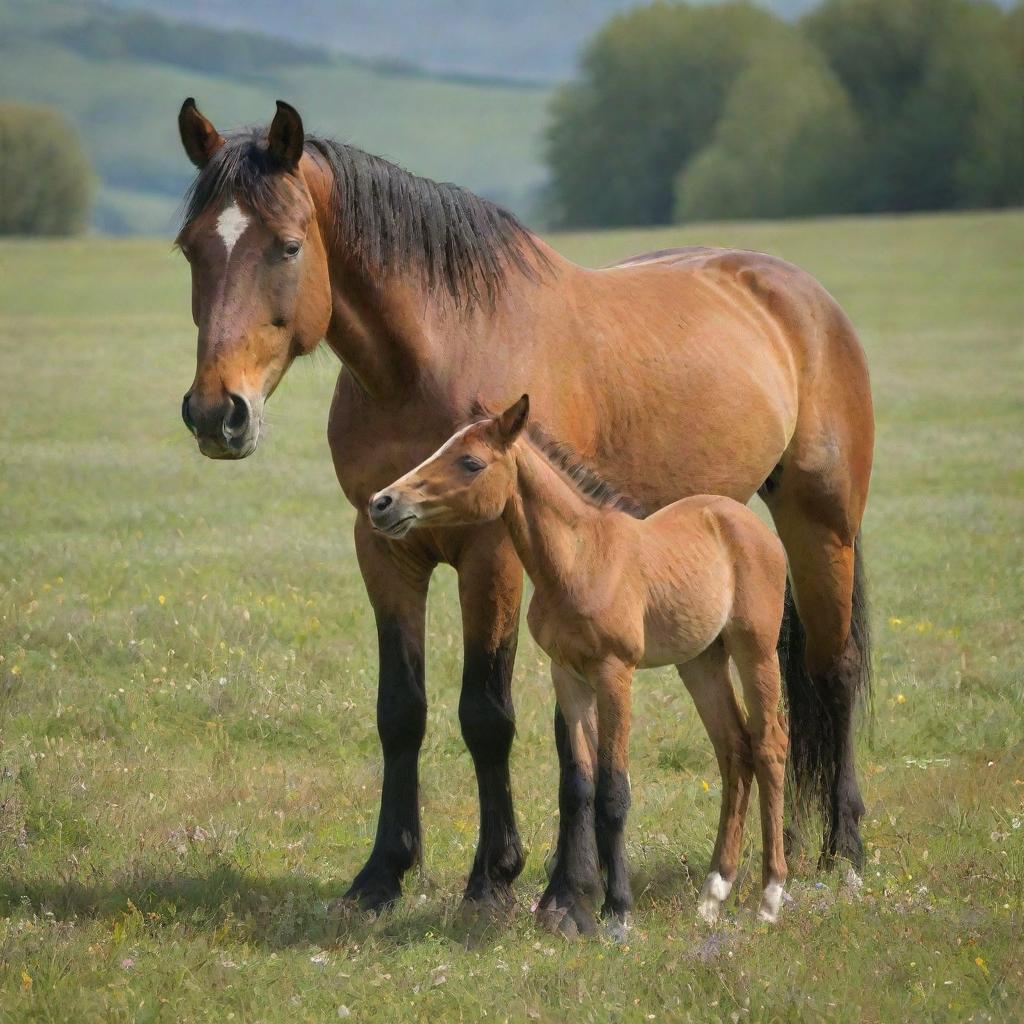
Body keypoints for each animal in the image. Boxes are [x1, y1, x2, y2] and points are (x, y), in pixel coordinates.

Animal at [370, 397, 790, 937]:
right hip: (701, 661)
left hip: (755, 648)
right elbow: (580, 783)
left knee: (769, 746)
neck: (580, 559)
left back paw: (771, 897)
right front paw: (584, 908)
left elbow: (614, 790)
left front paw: (618, 913)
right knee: (734, 750)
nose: (383, 502)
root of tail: (751, 525)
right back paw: (713, 894)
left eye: (471, 462)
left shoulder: (615, 673)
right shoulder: (567, 676)